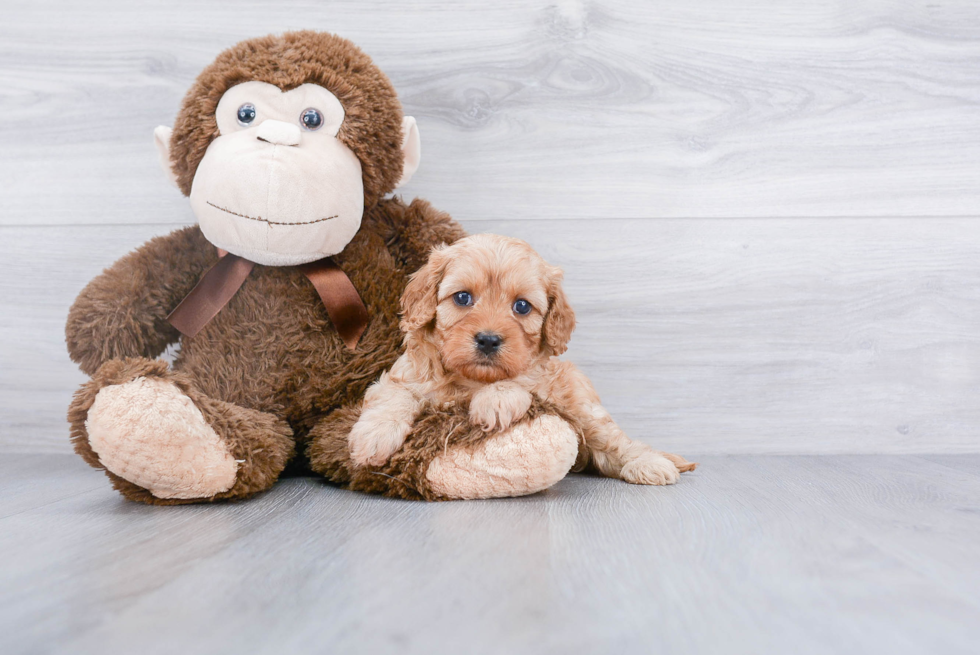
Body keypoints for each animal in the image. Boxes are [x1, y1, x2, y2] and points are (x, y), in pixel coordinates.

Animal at [348, 236, 692, 486]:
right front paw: (373, 437)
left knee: (613, 441)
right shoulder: (401, 376)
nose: (488, 340)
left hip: (583, 406)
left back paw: (649, 463)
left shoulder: (543, 379)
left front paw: (495, 401)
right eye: (462, 298)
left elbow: (519, 378)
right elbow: (394, 396)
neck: (471, 379)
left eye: (522, 306)